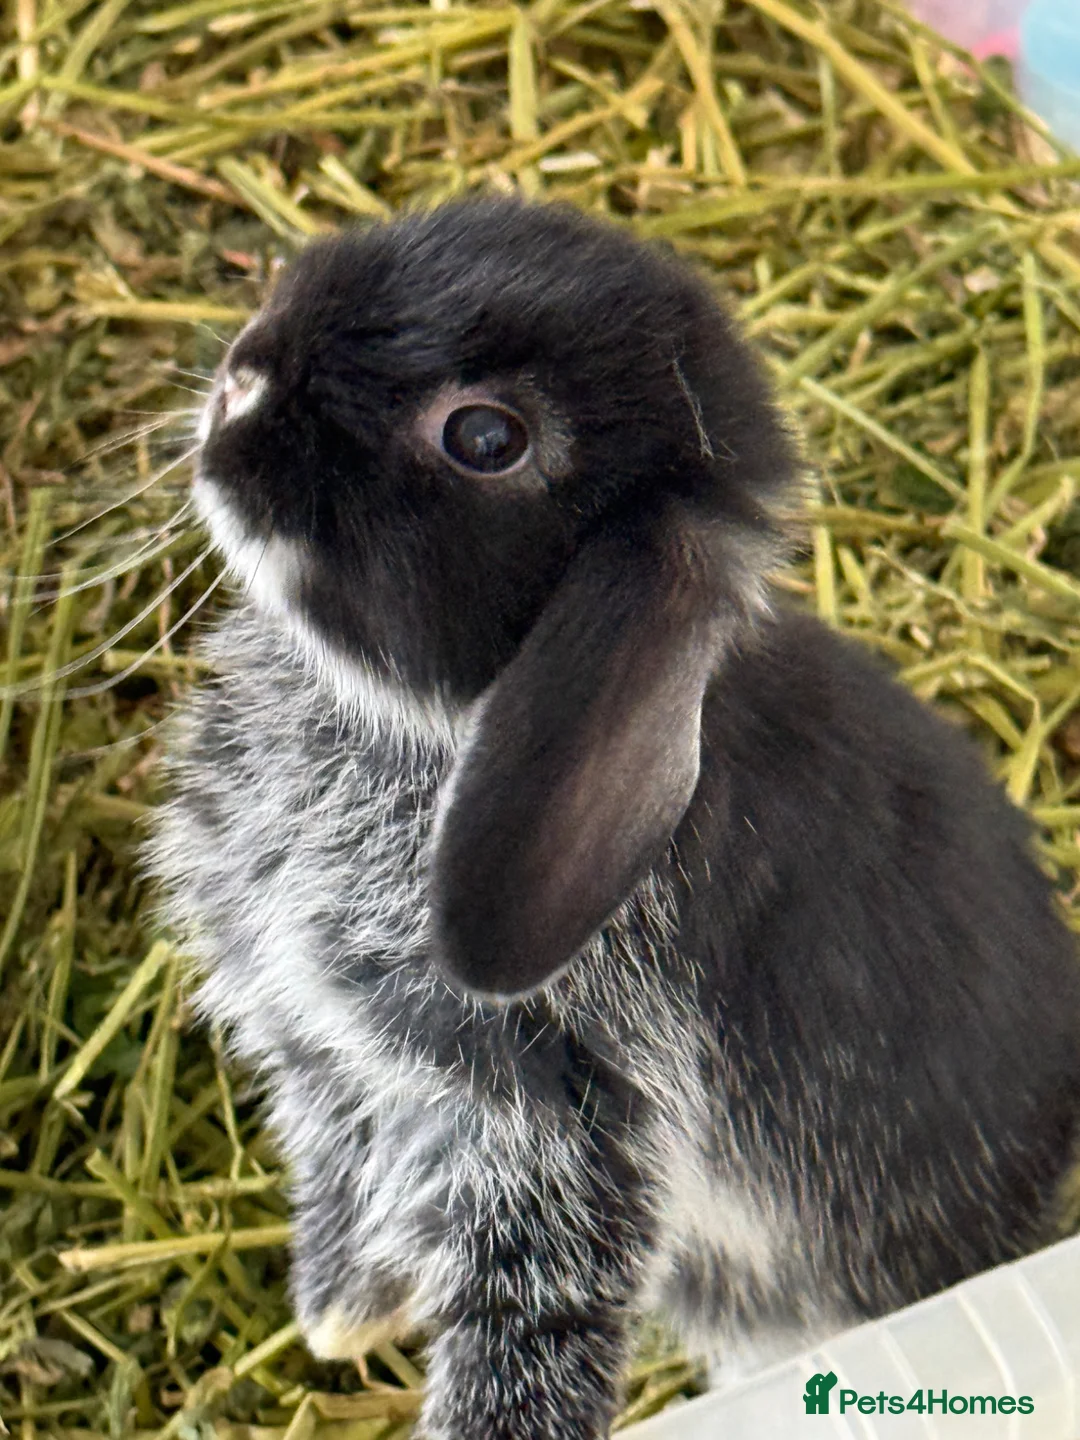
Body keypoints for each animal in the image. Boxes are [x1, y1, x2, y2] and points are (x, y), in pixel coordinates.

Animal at [149, 198, 1080, 1440]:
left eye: (484, 438)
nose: (242, 379)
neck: (429, 733)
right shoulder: (336, 1065)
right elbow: (345, 1168)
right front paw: (341, 1313)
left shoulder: (565, 1126)